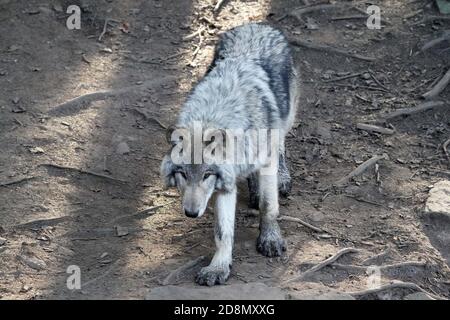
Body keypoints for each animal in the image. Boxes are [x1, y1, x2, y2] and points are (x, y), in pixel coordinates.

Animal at [161, 23, 298, 286]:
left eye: (206, 175)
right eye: (183, 174)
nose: (191, 213)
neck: (214, 114)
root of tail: (256, 25)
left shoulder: (264, 162)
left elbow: (268, 205)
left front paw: (270, 238)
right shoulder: (226, 183)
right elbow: (223, 232)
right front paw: (219, 267)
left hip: (285, 119)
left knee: (281, 144)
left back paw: (282, 178)